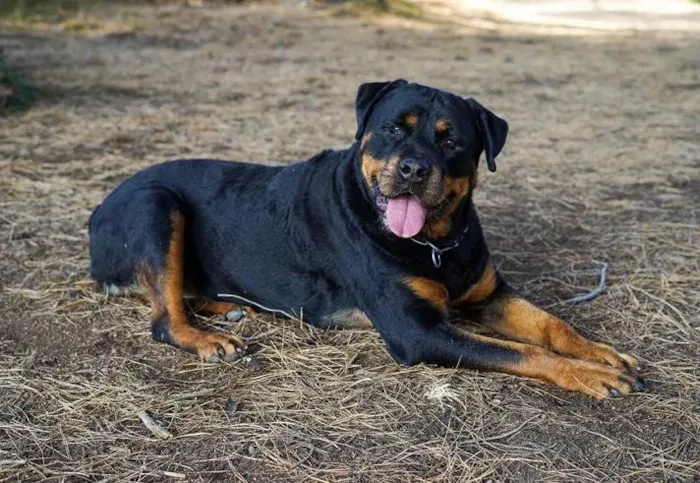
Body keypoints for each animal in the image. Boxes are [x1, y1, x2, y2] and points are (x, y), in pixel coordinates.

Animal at [91, 78, 644, 398]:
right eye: (393, 129)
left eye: (451, 140)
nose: (414, 169)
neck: (436, 244)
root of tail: (97, 210)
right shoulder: (416, 330)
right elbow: (523, 352)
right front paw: (590, 375)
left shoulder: (489, 295)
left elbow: (552, 326)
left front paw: (599, 353)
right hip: (155, 205)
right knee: (163, 318)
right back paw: (209, 338)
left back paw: (229, 307)